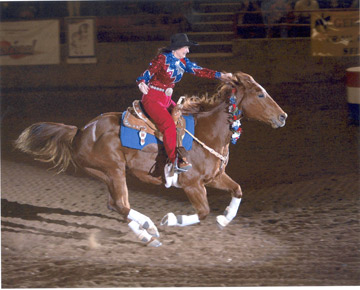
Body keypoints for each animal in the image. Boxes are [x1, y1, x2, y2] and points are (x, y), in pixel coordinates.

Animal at [15, 72, 288, 247]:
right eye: (260, 94)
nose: (283, 117)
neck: (207, 132)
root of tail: (80, 131)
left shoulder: (215, 177)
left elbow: (237, 190)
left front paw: (224, 218)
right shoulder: (192, 184)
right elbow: (202, 212)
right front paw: (171, 219)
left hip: (105, 174)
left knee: (116, 205)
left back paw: (146, 233)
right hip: (113, 170)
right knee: (122, 204)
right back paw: (150, 230)